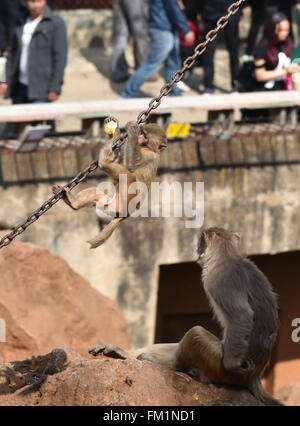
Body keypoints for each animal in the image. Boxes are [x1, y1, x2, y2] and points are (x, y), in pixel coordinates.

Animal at [52, 116, 168, 250]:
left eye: (145, 135)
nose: (139, 137)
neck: (147, 148)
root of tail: (124, 215)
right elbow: (121, 161)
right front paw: (115, 133)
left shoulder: (149, 156)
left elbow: (130, 166)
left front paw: (132, 132)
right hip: (108, 204)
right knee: (96, 193)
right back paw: (73, 202)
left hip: (125, 201)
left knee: (129, 178)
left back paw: (103, 162)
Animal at [88, 228, 282, 404]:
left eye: (199, 244)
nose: (196, 250)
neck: (227, 256)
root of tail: (254, 376)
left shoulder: (218, 279)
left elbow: (242, 316)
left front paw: (233, 364)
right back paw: (129, 355)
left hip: (219, 367)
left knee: (196, 333)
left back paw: (171, 366)